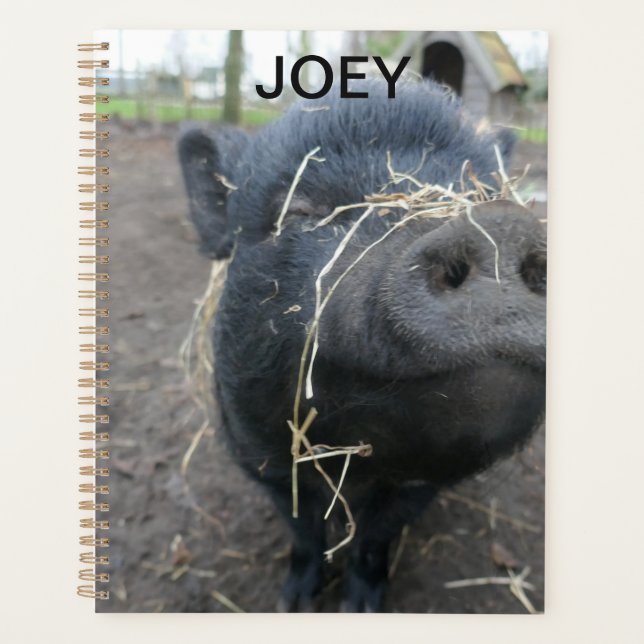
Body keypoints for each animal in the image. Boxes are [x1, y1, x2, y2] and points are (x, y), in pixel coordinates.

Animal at [178, 79, 546, 612]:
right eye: (299, 211)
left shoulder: (418, 486)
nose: (501, 224)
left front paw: (361, 607)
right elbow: (304, 531)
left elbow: (374, 539)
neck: (351, 461)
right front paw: (294, 603)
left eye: (483, 194)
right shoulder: (263, 461)